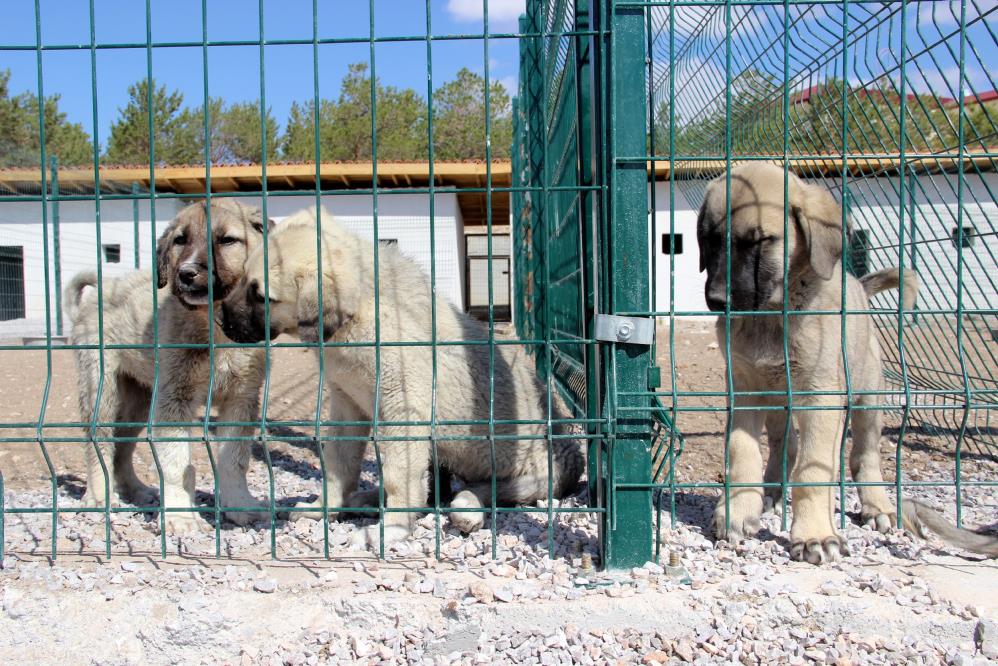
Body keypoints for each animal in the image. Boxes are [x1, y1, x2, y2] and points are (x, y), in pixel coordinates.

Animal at [65, 199, 273, 534]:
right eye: (180, 240)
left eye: (227, 240)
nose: (186, 273)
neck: (215, 329)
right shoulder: (175, 399)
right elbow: (176, 462)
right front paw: (179, 515)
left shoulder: (241, 398)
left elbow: (234, 459)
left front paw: (240, 505)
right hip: (101, 388)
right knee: (99, 443)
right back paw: (99, 496)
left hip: (138, 398)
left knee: (122, 448)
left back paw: (137, 490)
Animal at [218, 206, 584, 550]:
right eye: (243, 278)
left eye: (261, 296)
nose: (221, 322)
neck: (356, 315)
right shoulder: (347, 404)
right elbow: (339, 462)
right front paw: (324, 507)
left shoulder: (403, 411)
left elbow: (398, 476)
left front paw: (391, 529)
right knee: (435, 491)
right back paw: (367, 499)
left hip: (533, 471)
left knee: (483, 489)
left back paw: (467, 507)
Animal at [697, 163, 997, 563]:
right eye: (708, 239)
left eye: (760, 241)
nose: (716, 300)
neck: (774, 316)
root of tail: (858, 286)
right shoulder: (746, 391)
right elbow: (741, 453)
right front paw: (736, 512)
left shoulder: (822, 398)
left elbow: (813, 472)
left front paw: (814, 534)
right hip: (779, 403)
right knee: (784, 448)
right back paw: (771, 495)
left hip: (868, 398)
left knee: (863, 455)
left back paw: (877, 506)